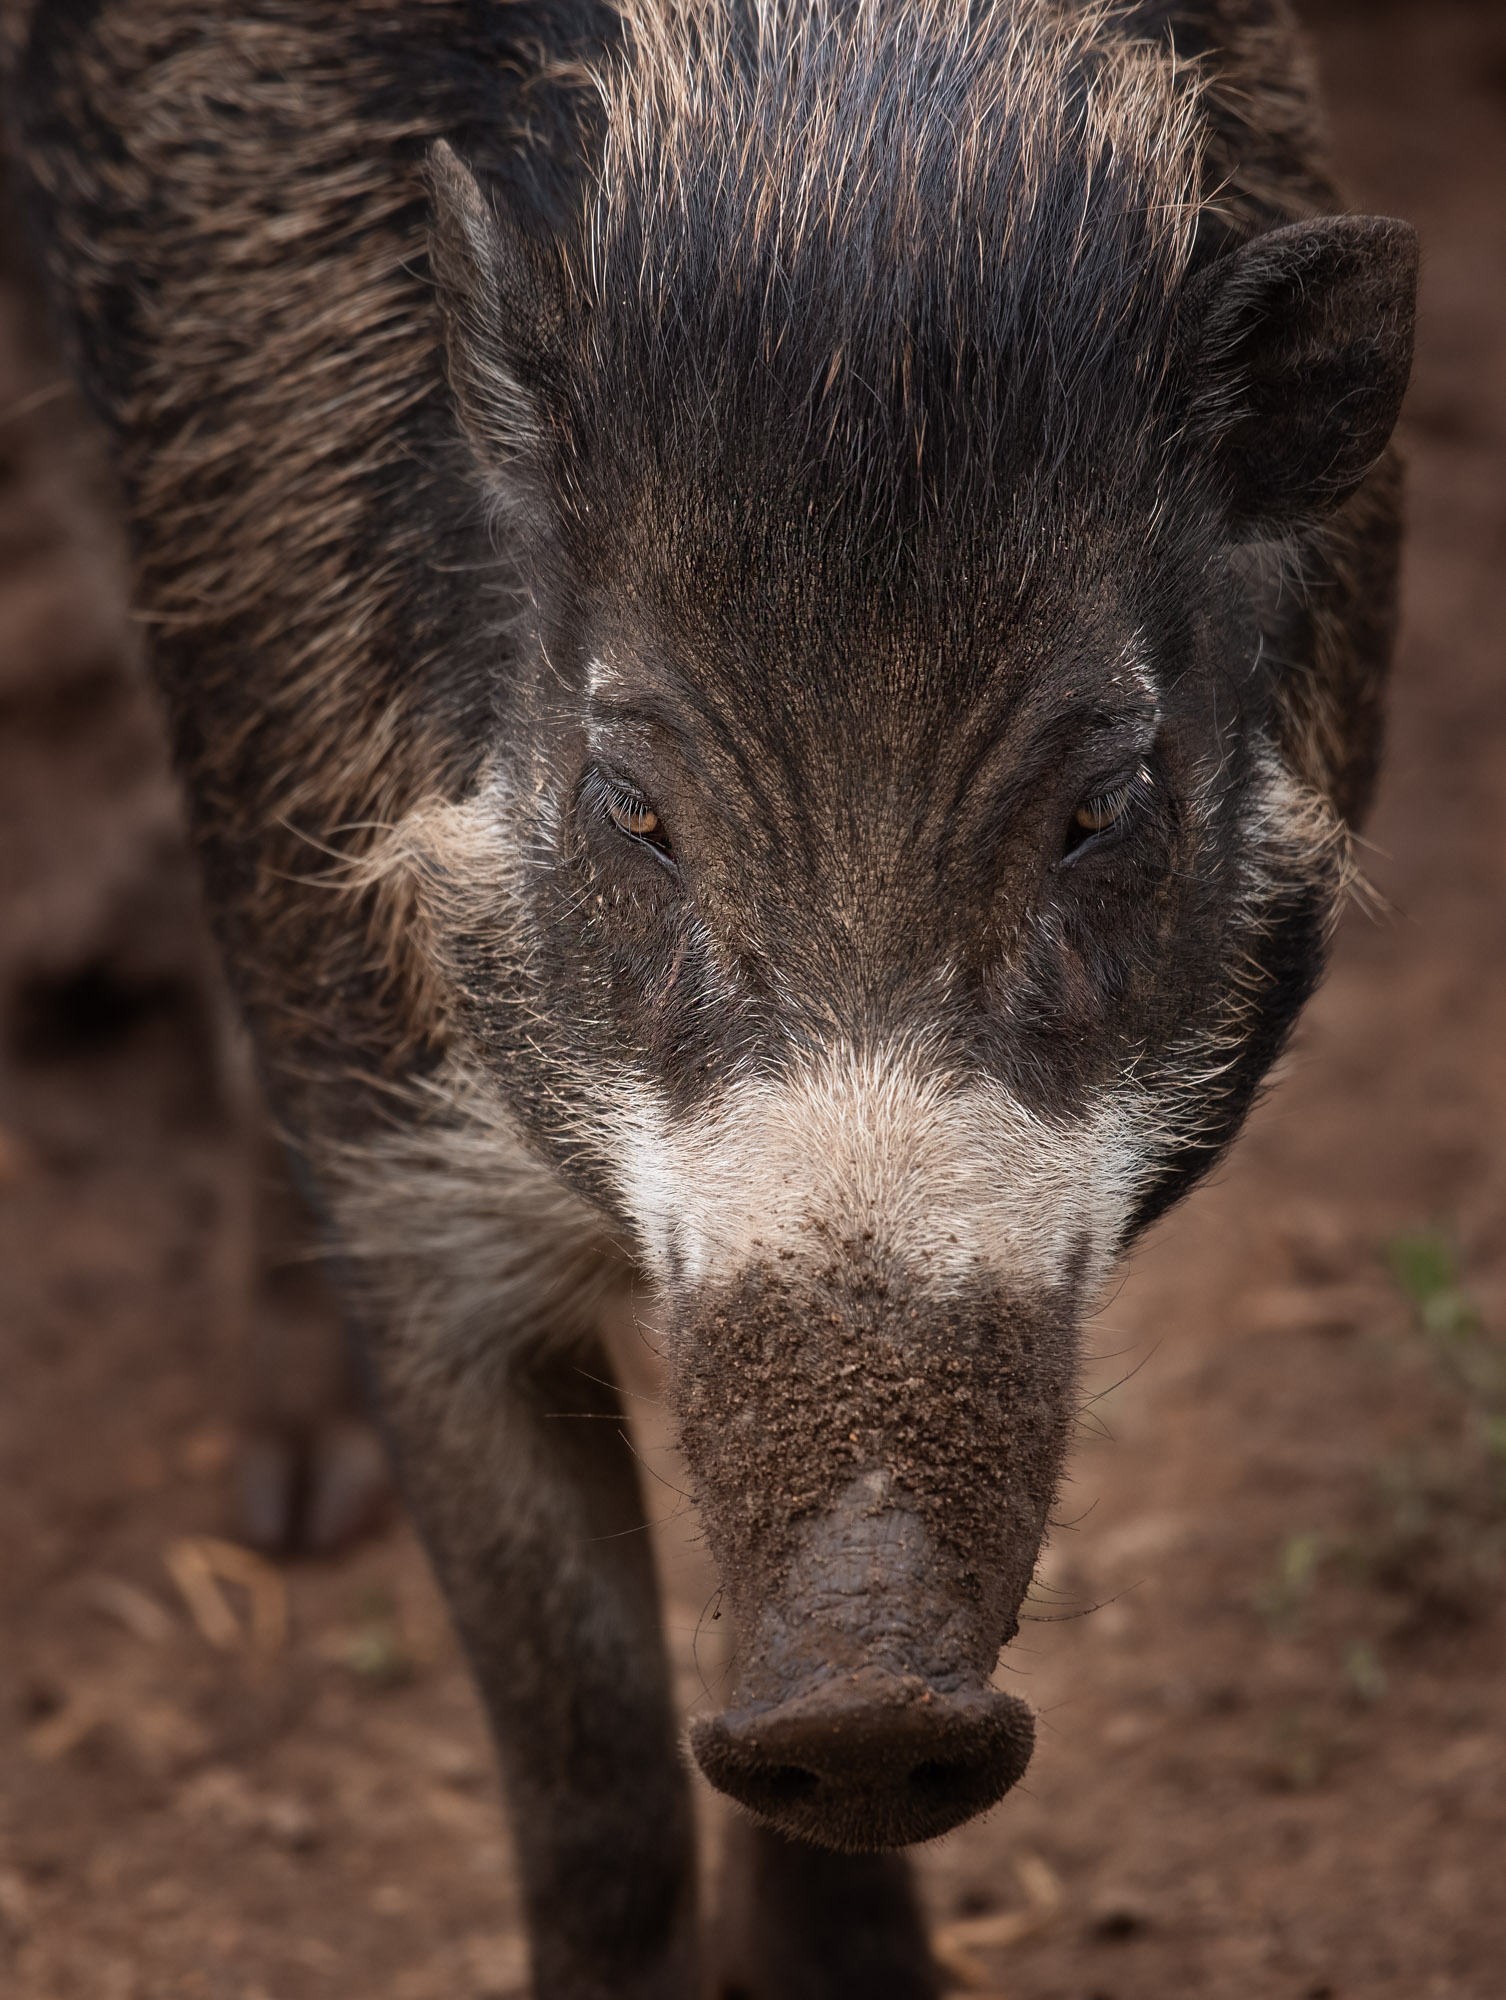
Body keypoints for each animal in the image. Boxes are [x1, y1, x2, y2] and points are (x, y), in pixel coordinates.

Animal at [9, 0, 1415, 1993]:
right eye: (632, 806)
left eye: (1099, 806)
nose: (861, 1698)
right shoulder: (394, 1168)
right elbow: (584, 1759)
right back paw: (288, 1516)